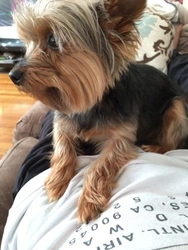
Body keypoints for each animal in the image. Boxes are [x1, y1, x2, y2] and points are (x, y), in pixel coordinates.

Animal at [9, 0, 188, 223]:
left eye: (53, 40)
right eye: (28, 42)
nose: (12, 74)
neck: (90, 106)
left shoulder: (121, 138)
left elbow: (100, 165)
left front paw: (88, 201)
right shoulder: (62, 124)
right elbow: (63, 148)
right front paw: (57, 181)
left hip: (177, 108)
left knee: (172, 143)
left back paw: (155, 147)